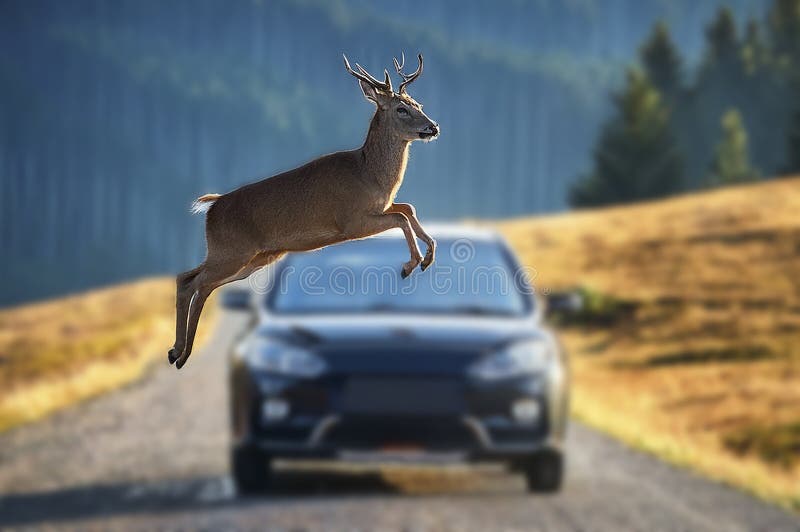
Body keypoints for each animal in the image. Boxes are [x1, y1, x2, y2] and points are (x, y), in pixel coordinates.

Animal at [168, 53, 440, 369]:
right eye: (401, 109)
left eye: (419, 104)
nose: (433, 127)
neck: (369, 174)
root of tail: (212, 207)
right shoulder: (351, 221)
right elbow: (400, 217)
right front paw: (411, 264)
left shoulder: (380, 207)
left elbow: (408, 208)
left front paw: (428, 257)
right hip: (232, 252)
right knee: (196, 284)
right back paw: (182, 354)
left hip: (250, 257)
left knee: (191, 280)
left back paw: (176, 351)